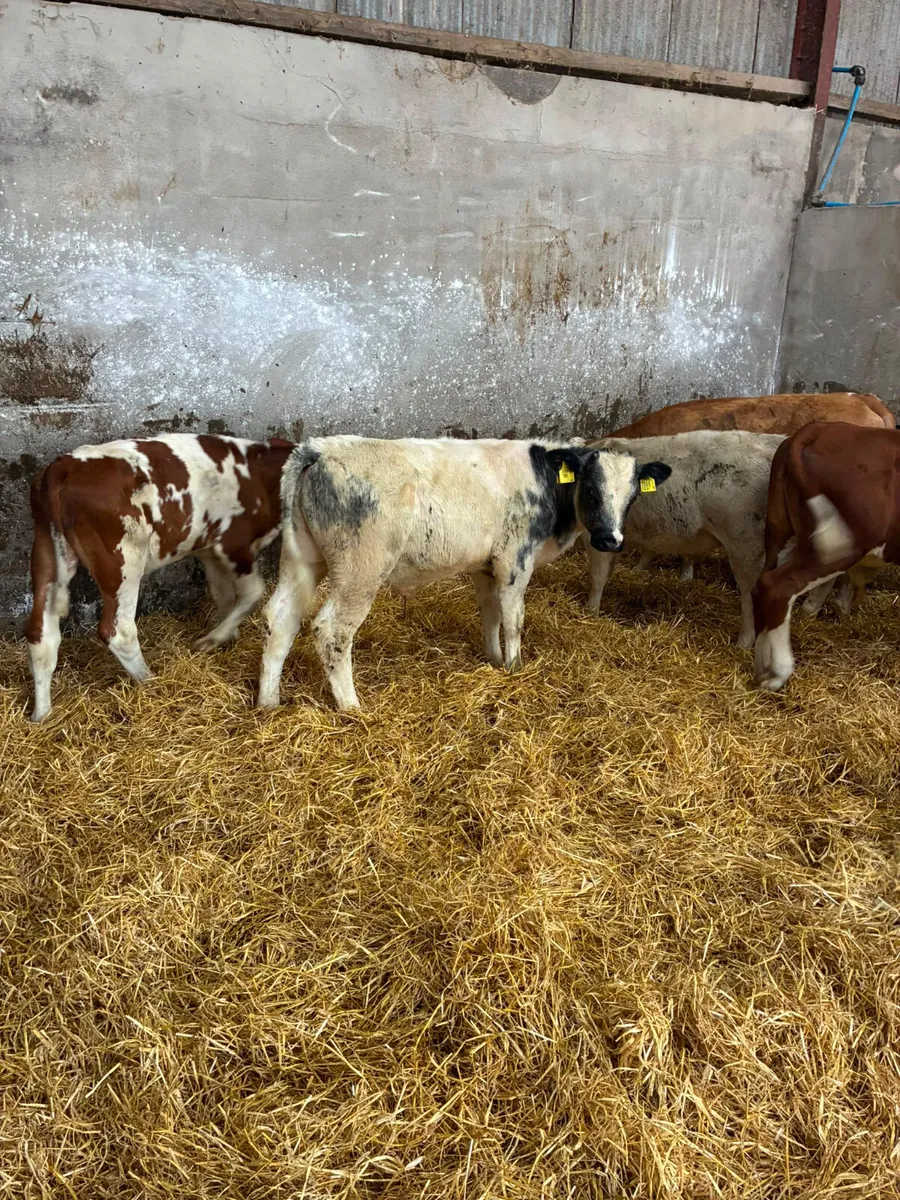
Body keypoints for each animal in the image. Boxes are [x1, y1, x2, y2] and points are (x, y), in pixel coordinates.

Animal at [26, 434, 294, 721]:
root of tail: (62, 466)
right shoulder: (234, 544)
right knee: (118, 630)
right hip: (123, 560)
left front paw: (226, 635)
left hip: (46, 553)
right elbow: (253, 592)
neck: (260, 474)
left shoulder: (210, 551)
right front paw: (213, 638)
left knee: (41, 635)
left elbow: (223, 594)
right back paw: (149, 681)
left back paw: (41, 716)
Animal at [258, 436, 672, 710]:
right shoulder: (515, 560)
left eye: (633, 495)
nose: (609, 540)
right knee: (332, 631)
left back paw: (269, 702)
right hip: (361, 570)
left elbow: (490, 613)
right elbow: (513, 619)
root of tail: (321, 448)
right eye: (590, 489)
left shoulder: (485, 566)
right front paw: (515, 668)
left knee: (281, 617)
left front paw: (493, 659)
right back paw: (351, 707)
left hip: (302, 558)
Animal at [752, 422, 900, 691]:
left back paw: (763, 668)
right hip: (843, 545)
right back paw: (779, 672)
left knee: (759, 586)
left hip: (778, 531)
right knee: (776, 586)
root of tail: (817, 429)